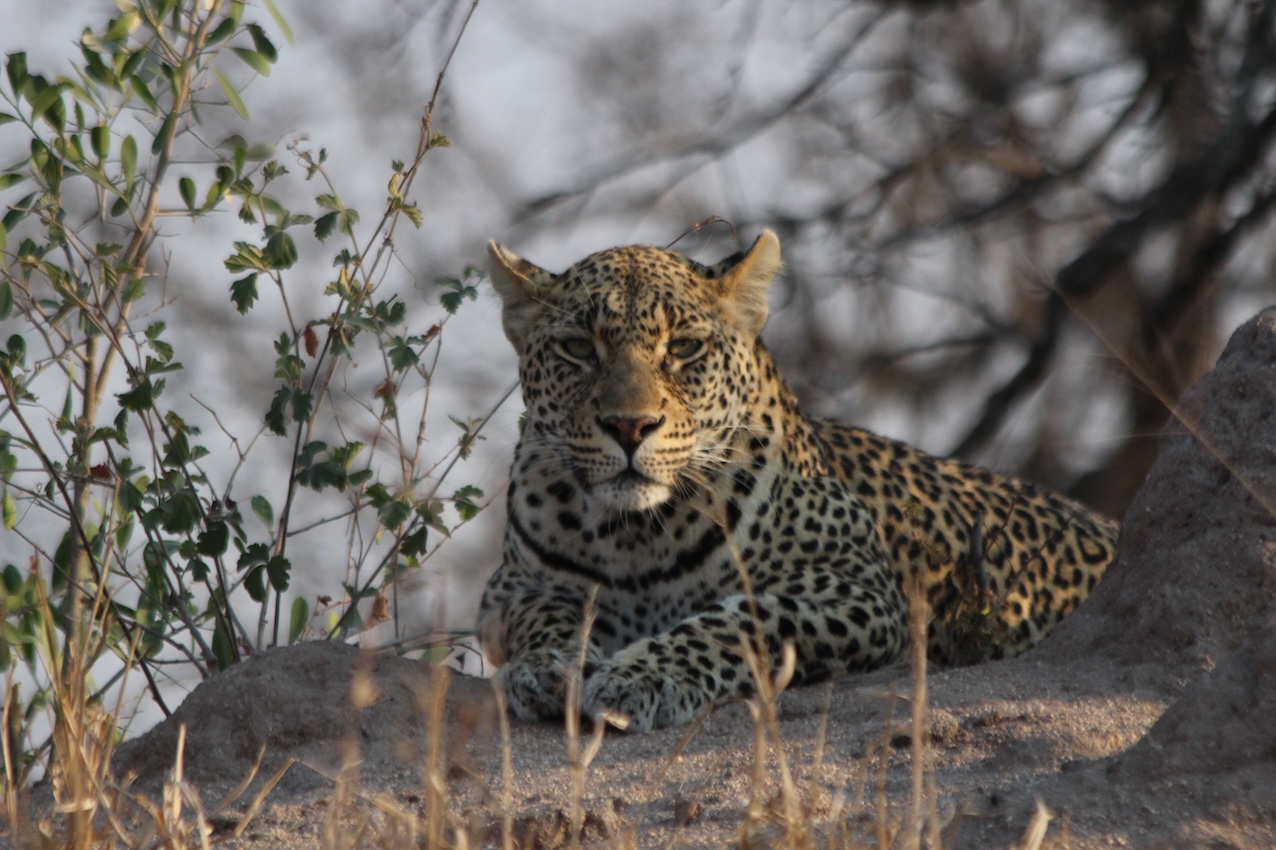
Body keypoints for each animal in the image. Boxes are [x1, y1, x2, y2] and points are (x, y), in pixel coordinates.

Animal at [477, 230, 1118, 732]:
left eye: (684, 347)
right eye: (577, 349)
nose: (629, 426)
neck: (639, 534)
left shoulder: (856, 591)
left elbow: (738, 620)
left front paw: (641, 676)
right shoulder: (509, 589)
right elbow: (544, 614)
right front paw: (547, 667)